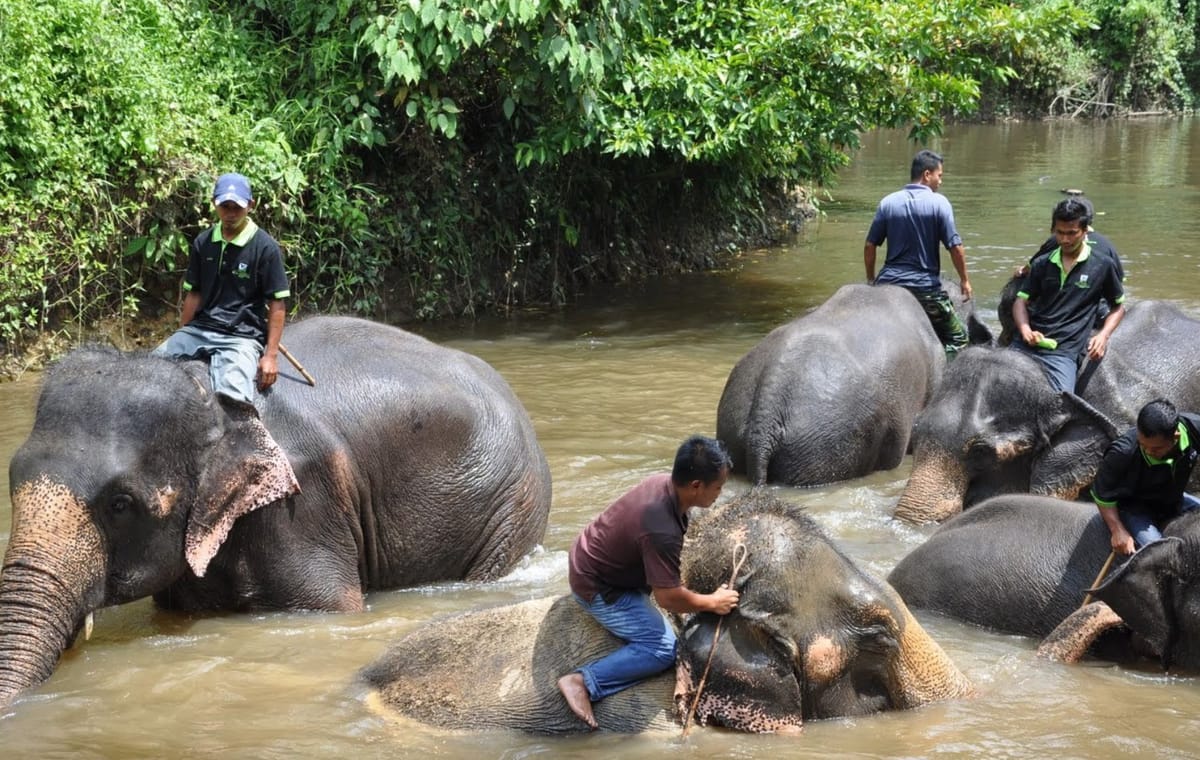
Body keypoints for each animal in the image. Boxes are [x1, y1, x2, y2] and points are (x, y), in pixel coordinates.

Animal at [0, 315, 552, 709]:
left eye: (120, 504)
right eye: (12, 481)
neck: (207, 393)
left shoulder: (302, 506)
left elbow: (331, 606)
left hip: (512, 506)